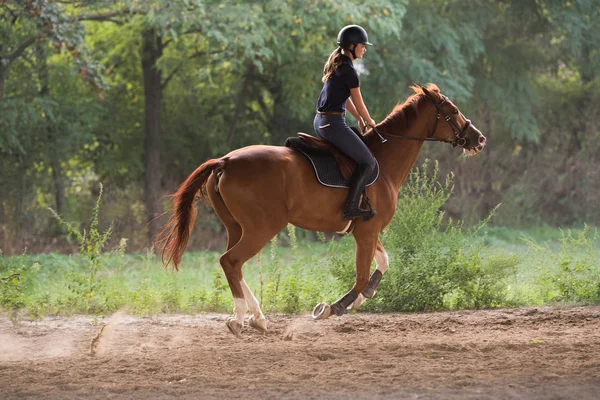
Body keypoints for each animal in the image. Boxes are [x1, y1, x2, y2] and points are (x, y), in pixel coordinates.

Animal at [157, 83, 486, 334]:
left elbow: (382, 263)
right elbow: (362, 276)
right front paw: (333, 307)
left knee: (234, 265)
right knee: (231, 262)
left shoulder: (368, 230)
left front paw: (360, 299)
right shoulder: (366, 232)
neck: (384, 161)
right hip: (262, 228)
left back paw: (258, 319)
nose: (479, 138)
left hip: (236, 227)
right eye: (452, 111)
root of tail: (225, 161)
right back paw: (240, 319)